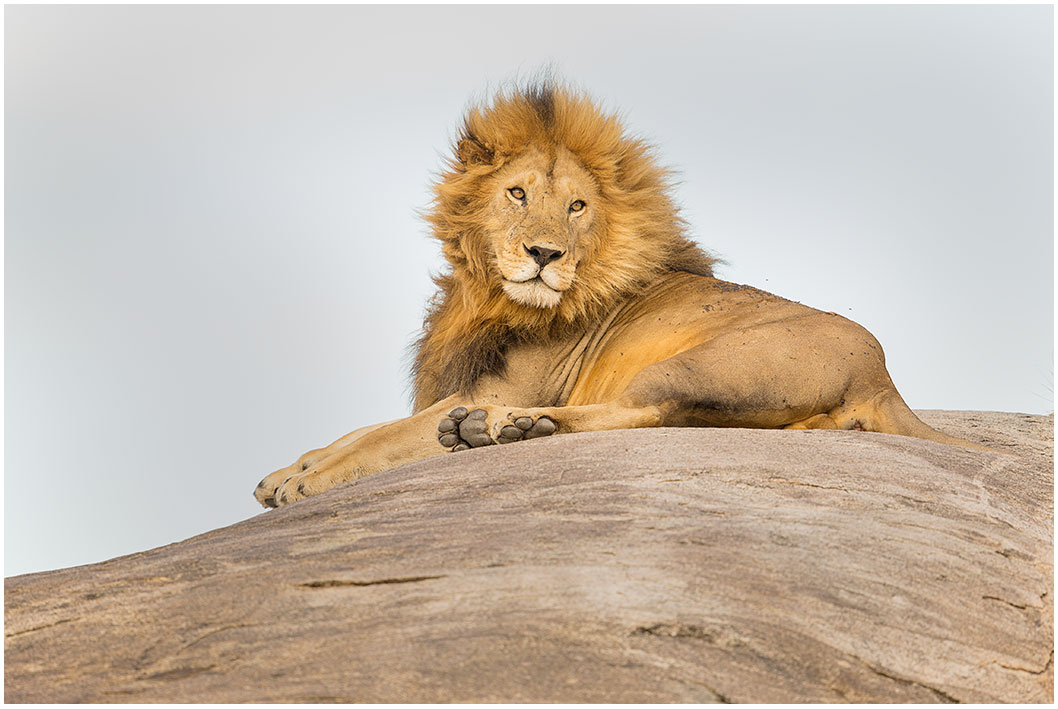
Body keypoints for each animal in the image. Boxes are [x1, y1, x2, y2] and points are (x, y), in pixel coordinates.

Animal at [253, 82, 981, 512]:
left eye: (577, 206)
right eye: (517, 193)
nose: (544, 255)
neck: (487, 297)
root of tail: (881, 377)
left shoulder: (498, 385)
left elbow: (384, 438)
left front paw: (307, 480)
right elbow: (363, 427)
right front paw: (288, 468)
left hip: (700, 364)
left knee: (645, 413)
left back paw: (496, 430)